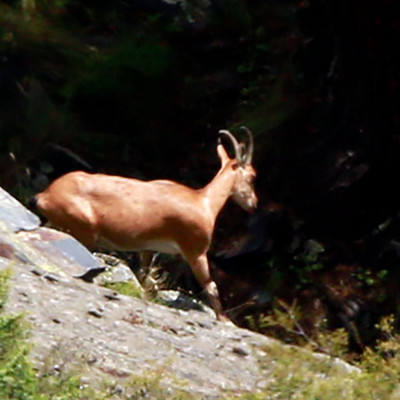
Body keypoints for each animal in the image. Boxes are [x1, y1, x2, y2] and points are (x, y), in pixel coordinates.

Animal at [36, 129, 258, 322]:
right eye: (253, 176)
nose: (254, 204)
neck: (203, 202)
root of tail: (45, 195)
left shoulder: (147, 248)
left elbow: (144, 276)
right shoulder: (195, 251)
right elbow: (211, 286)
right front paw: (225, 320)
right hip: (85, 233)